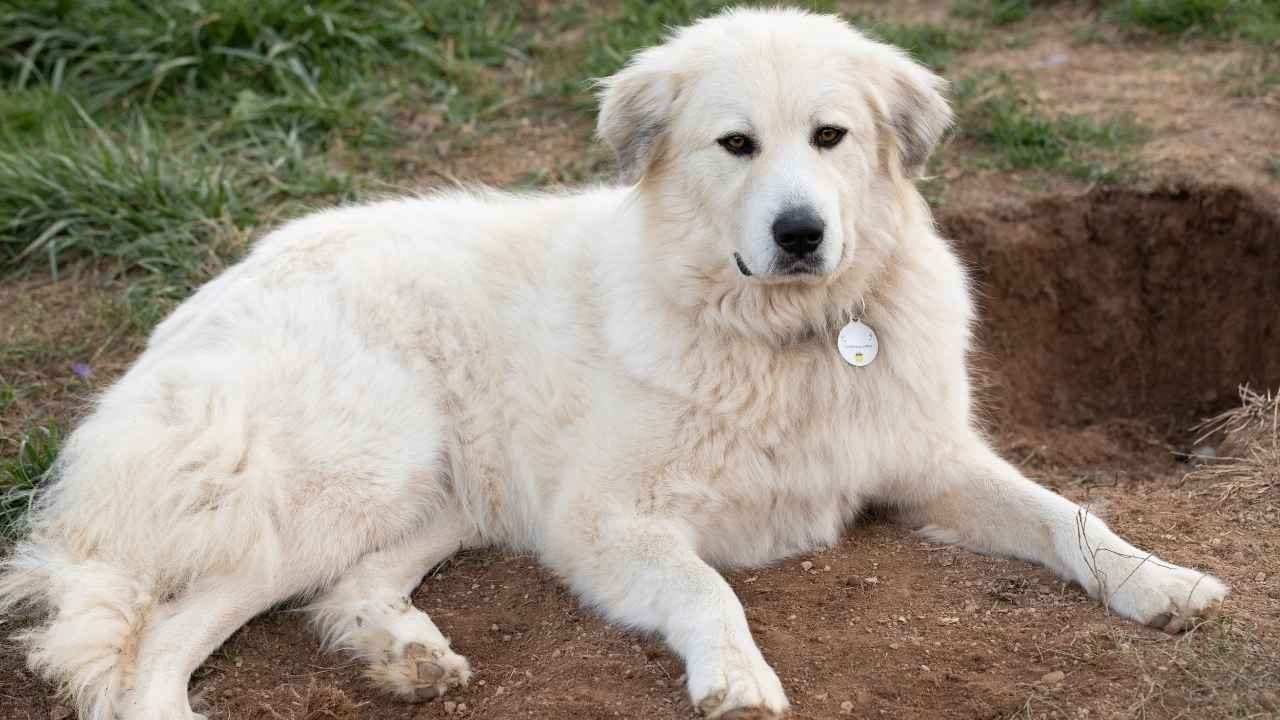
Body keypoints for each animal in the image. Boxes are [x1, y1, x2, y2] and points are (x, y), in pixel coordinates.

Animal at [0, 9, 1228, 717]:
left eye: (829, 136)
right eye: (735, 144)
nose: (799, 234)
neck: (785, 337)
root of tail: (195, 310)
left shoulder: (931, 461)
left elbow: (1072, 517)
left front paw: (1160, 582)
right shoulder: (605, 519)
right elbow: (706, 589)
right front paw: (735, 677)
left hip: (438, 495)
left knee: (341, 589)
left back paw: (405, 653)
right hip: (350, 470)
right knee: (156, 641)